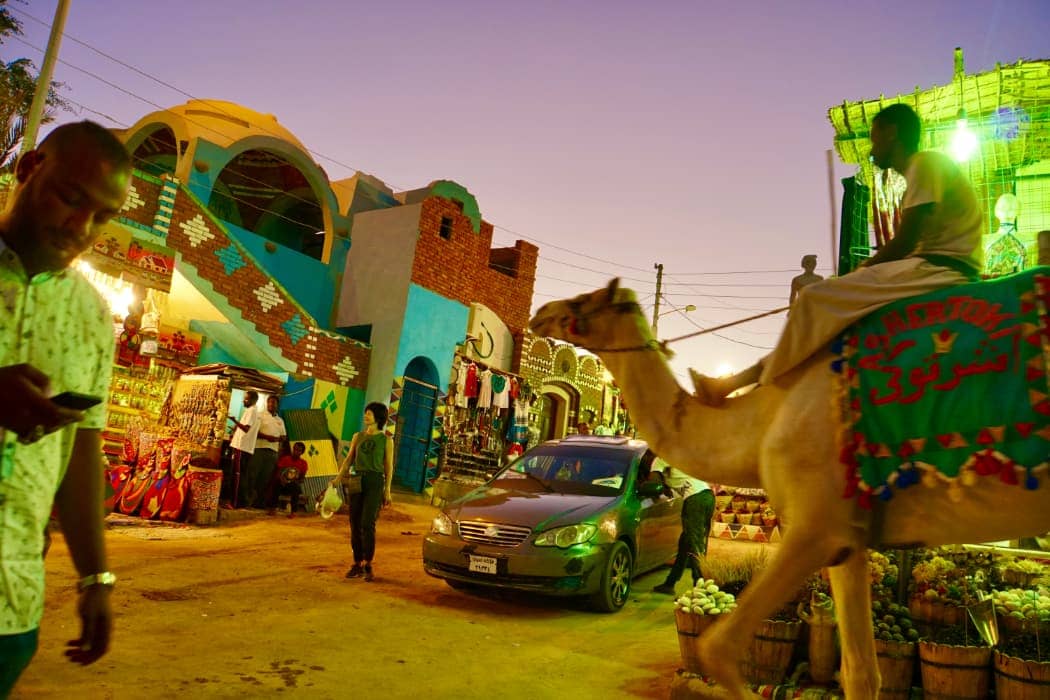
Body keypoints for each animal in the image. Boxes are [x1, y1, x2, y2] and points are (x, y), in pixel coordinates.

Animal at [533, 281, 1050, 700]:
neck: (762, 424)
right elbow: (861, 673)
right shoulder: (846, 540)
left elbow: (719, 648)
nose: (542, 310)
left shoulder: (814, 528)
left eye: (584, 301)